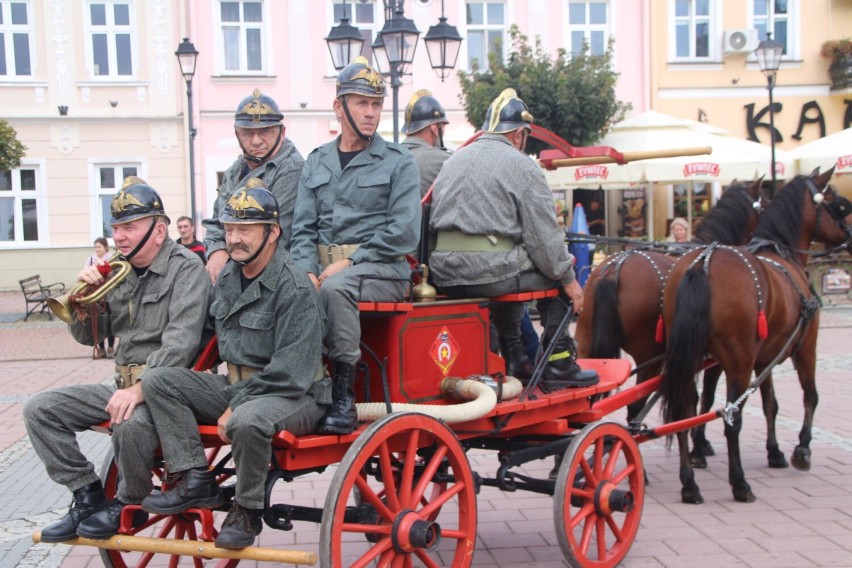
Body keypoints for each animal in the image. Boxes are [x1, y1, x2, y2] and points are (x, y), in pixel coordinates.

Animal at [660, 168, 852, 502]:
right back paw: (739, 483)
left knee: (681, 411)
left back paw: (689, 484)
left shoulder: (764, 357)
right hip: (738, 362)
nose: (851, 237)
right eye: (838, 205)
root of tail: (703, 264)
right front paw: (802, 448)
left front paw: (774, 452)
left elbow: (769, 404)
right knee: (731, 418)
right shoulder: (805, 347)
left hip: (687, 357)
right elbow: (810, 395)